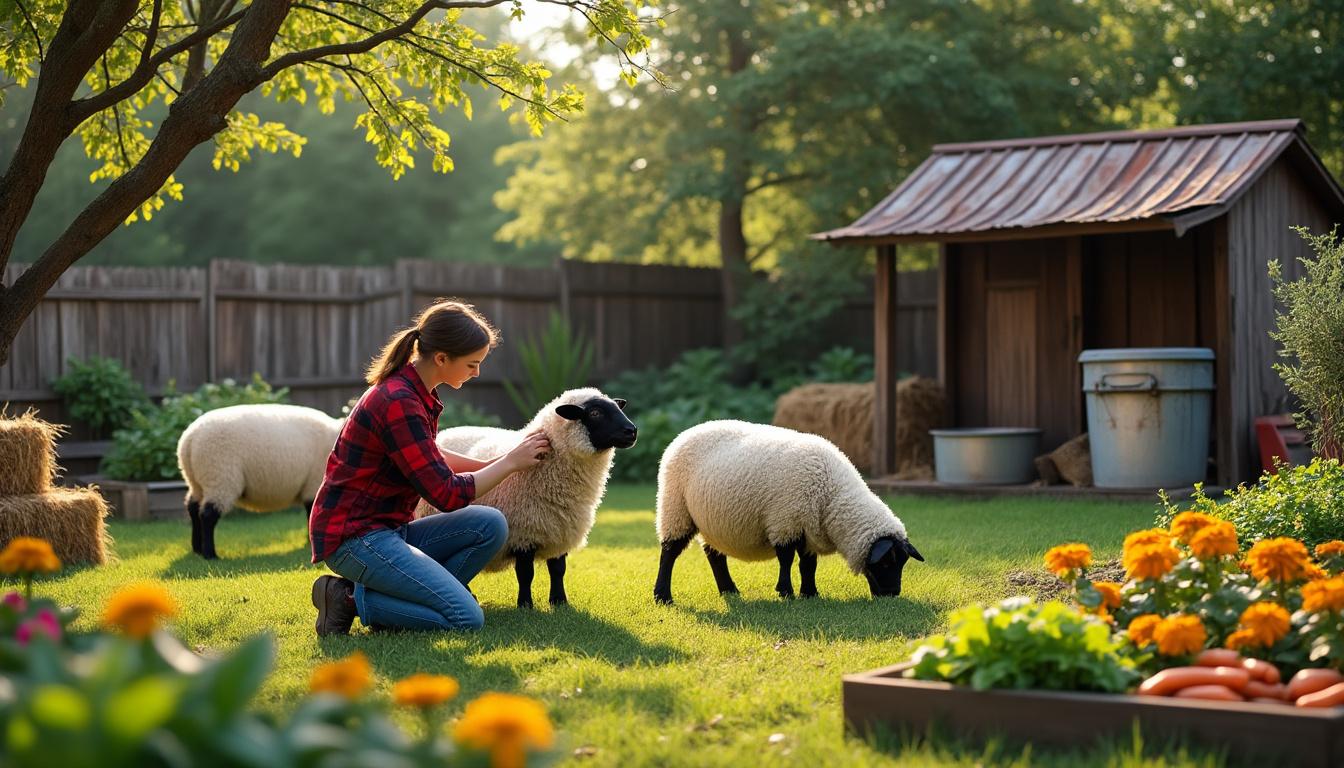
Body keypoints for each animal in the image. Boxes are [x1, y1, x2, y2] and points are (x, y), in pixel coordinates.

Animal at [177, 404, 343, 560]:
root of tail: (189, 441)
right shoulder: (314, 483)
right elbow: (314, 513)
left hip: (197, 481)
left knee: (193, 509)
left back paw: (197, 549)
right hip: (220, 476)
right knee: (208, 515)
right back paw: (210, 554)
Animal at [416, 388, 637, 608]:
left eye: (617, 408)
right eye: (595, 413)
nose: (632, 431)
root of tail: (444, 433)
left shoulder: (560, 528)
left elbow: (558, 569)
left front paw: (559, 602)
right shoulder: (523, 533)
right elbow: (525, 573)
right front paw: (525, 605)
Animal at [652, 420, 924, 604]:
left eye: (903, 562)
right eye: (887, 562)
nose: (892, 594)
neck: (831, 495)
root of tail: (684, 433)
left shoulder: (808, 528)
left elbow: (808, 564)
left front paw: (810, 593)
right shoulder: (785, 520)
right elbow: (786, 558)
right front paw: (786, 592)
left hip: (712, 522)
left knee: (715, 555)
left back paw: (729, 590)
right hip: (675, 507)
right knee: (669, 552)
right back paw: (663, 596)